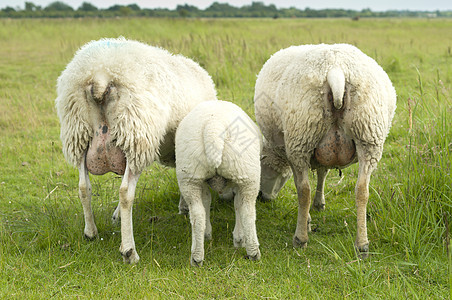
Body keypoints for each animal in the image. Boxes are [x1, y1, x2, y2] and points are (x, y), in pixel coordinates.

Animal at [54, 37, 217, 262]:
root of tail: (100, 74)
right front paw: (184, 206)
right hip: (136, 134)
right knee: (125, 193)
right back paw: (129, 250)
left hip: (78, 133)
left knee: (83, 187)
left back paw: (91, 232)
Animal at [176, 101, 262, 268]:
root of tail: (213, 127)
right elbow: (237, 205)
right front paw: (239, 238)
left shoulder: (203, 181)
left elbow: (207, 201)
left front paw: (208, 233)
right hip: (248, 175)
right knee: (248, 211)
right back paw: (253, 252)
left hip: (190, 176)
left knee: (197, 214)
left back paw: (197, 257)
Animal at [254, 43, 396, 255]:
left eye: (263, 169)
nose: (262, 198)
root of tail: (335, 71)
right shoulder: (323, 151)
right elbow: (323, 172)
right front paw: (319, 204)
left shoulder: (293, 151)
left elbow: (305, 184)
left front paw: (308, 218)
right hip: (369, 135)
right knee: (362, 190)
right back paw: (362, 244)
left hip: (301, 135)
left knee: (303, 191)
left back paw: (300, 238)